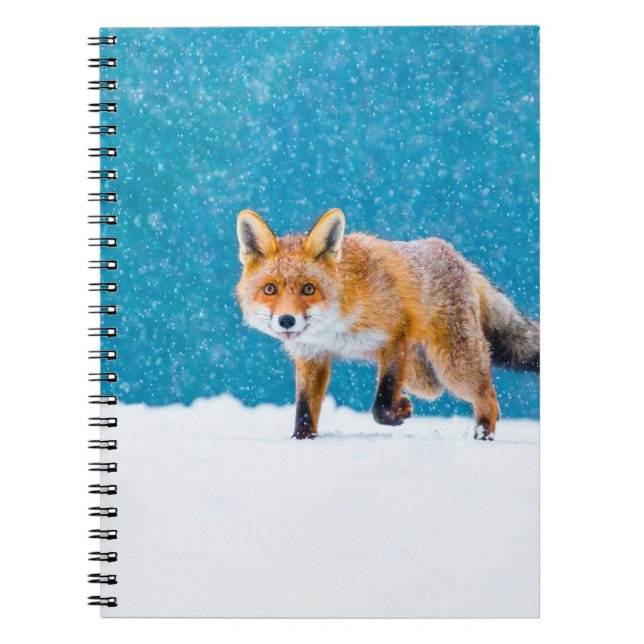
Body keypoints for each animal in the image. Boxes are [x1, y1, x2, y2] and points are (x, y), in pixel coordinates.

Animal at [236, 208, 539, 441]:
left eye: (308, 289)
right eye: (270, 289)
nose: (287, 320)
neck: (333, 327)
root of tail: (457, 257)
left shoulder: (394, 335)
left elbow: (382, 402)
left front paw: (395, 413)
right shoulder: (312, 355)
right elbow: (305, 409)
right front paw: (302, 440)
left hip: (453, 367)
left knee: (487, 394)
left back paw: (483, 434)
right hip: (421, 375)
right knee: (435, 388)